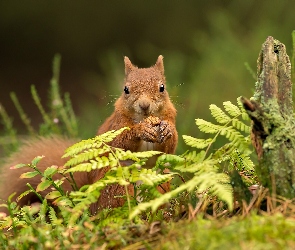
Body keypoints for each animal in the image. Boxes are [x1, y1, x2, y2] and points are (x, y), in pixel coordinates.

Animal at [0, 55, 178, 214]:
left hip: (161, 180)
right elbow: (120, 142)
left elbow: (168, 147)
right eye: (126, 89)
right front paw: (141, 130)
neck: (143, 118)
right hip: (116, 183)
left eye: (162, 87)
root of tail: (92, 206)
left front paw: (167, 129)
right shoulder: (116, 125)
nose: (144, 105)